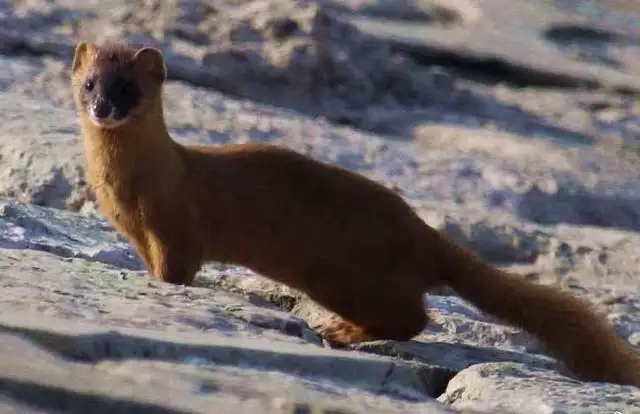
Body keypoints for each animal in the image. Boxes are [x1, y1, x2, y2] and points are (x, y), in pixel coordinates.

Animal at [70, 40, 640, 386]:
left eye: (128, 87)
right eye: (90, 83)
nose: (103, 108)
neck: (127, 190)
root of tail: (424, 233)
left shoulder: (179, 228)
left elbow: (178, 269)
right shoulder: (137, 233)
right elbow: (152, 266)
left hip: (346, 275)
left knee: (413, 317)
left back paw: (343, 331)